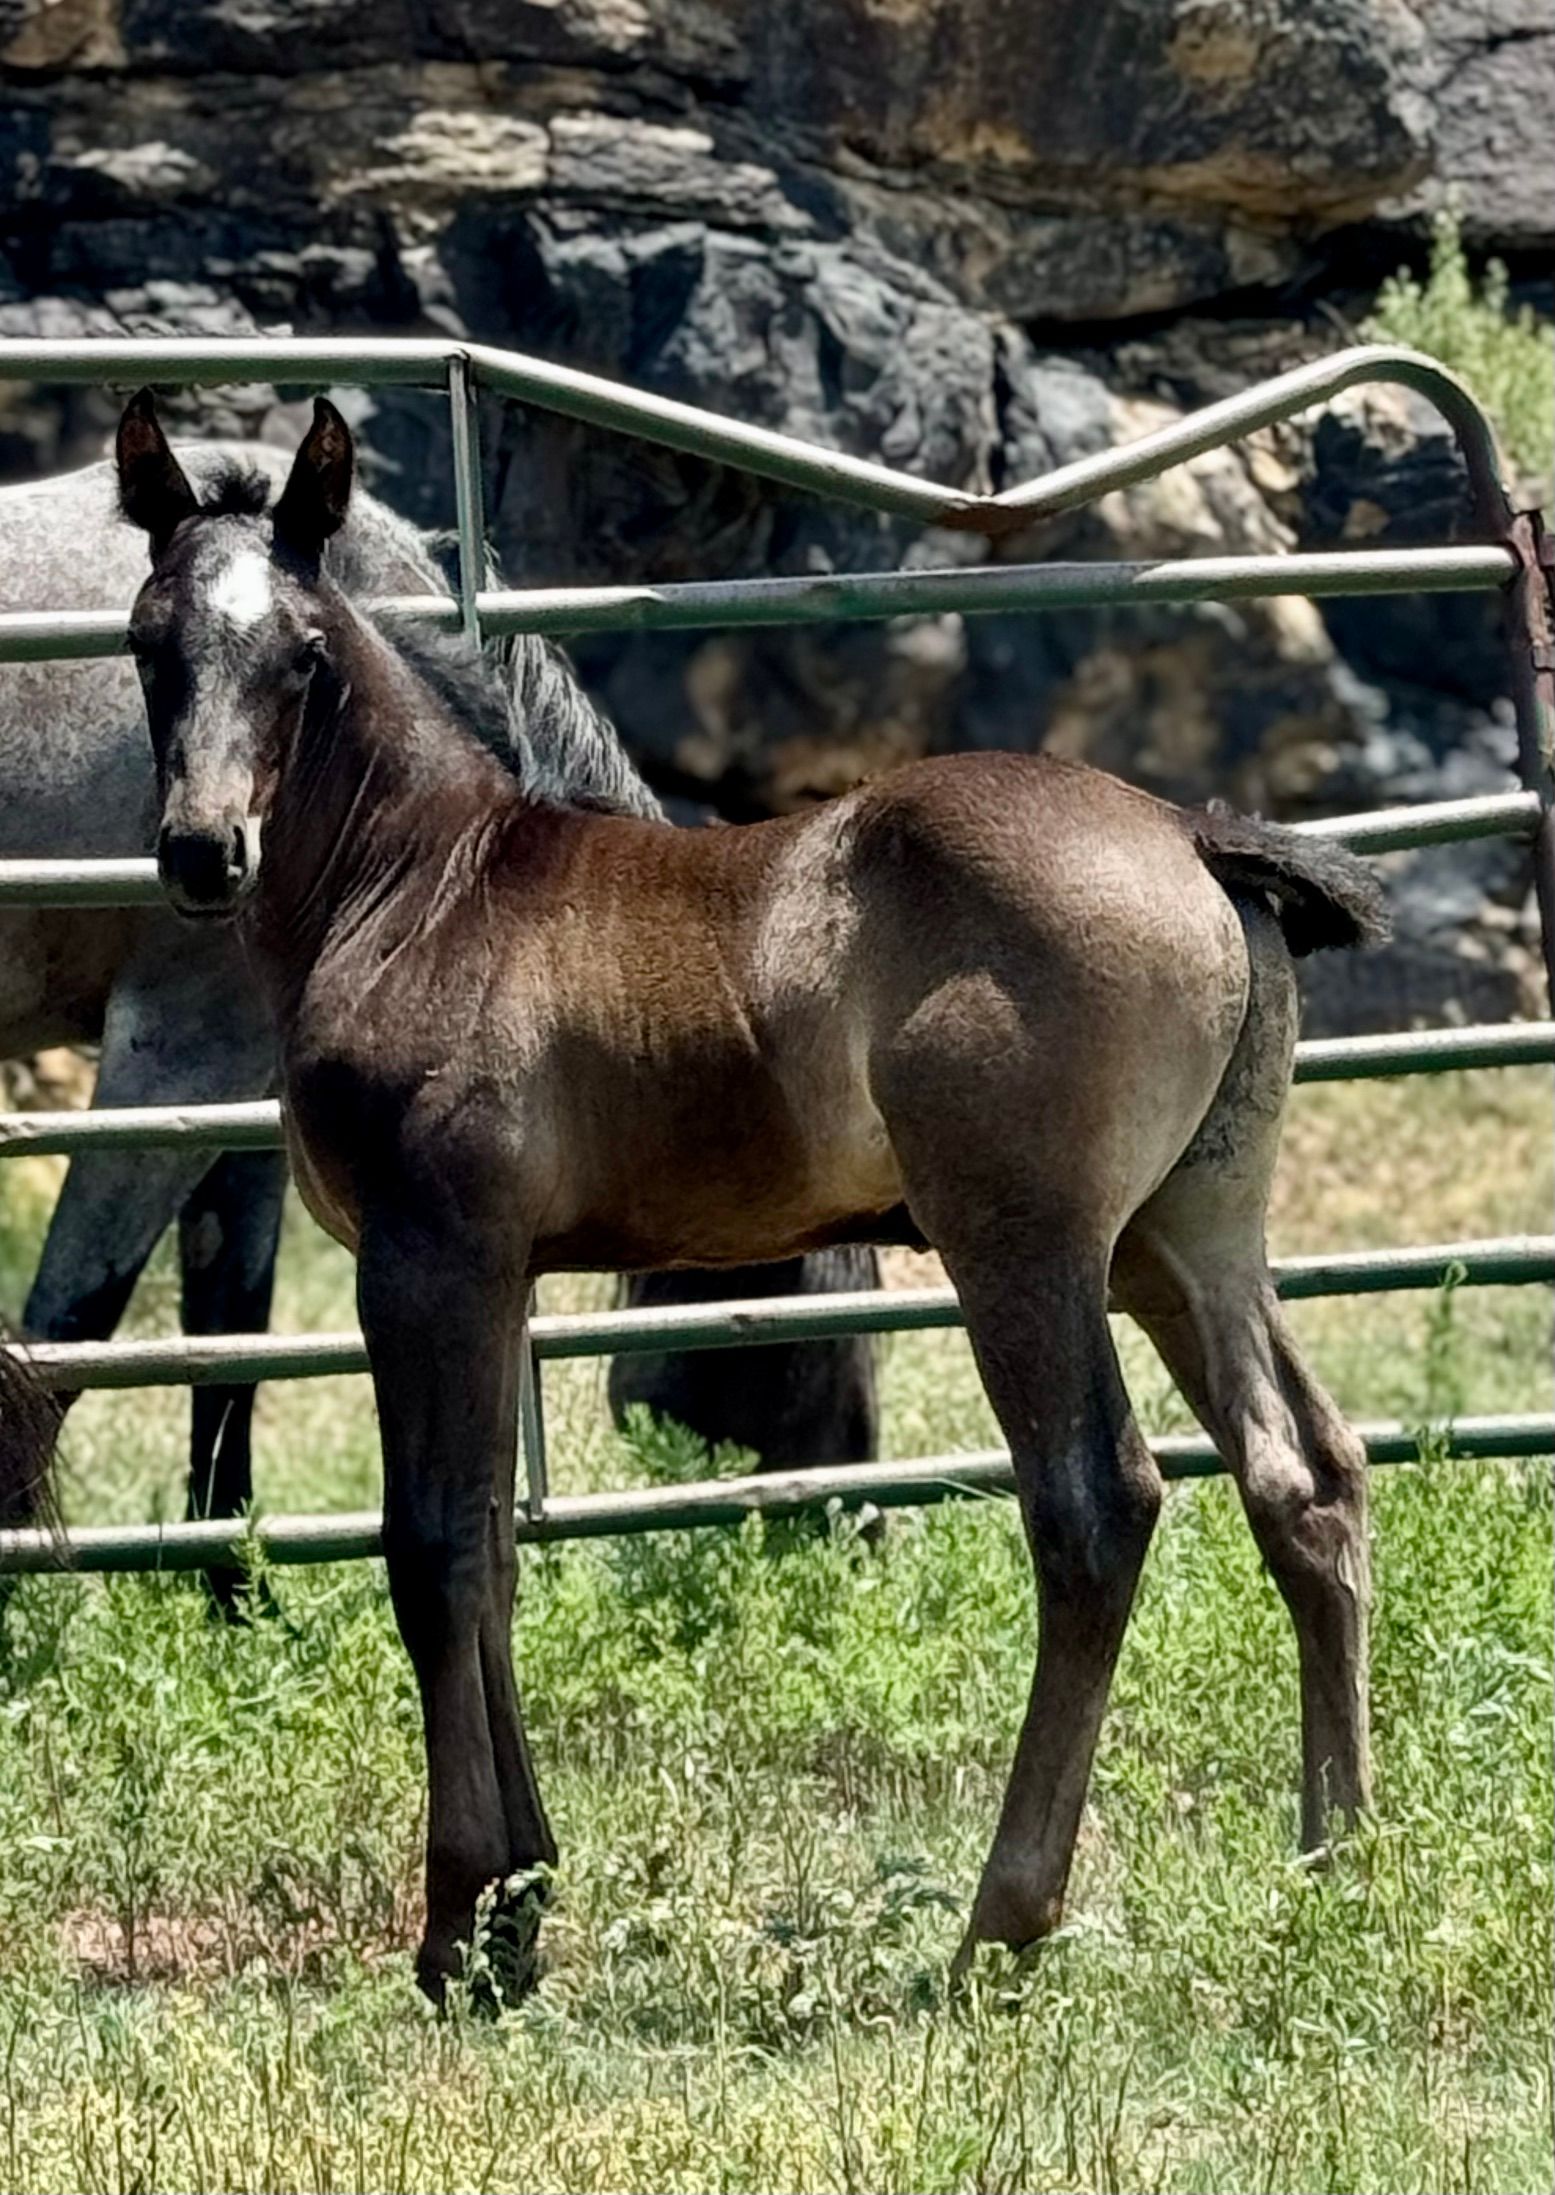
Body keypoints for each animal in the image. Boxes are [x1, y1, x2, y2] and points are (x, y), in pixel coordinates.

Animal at [0, 433, 877, 1604]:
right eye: (805, 1338)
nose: (865, 1533)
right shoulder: (177, 1052)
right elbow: (70, 1322)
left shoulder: (249, 1083)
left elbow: (228, 1328)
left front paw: (238, 1595)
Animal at [100, 389, 1387, 2000]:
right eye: (149, 640)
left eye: (301, 656)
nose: (201, 849)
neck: (419, 891)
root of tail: (1187, 835)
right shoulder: (501, 1276)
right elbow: (496, 1546)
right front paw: (522, 1901)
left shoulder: (425, 1258)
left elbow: (430, 1546)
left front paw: (459, 1923)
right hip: (1183, 1239)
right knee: (1305, 1474)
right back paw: (1334, 1855)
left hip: (1022, 1243)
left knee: (1094, 1502)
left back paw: (1000, 1919)